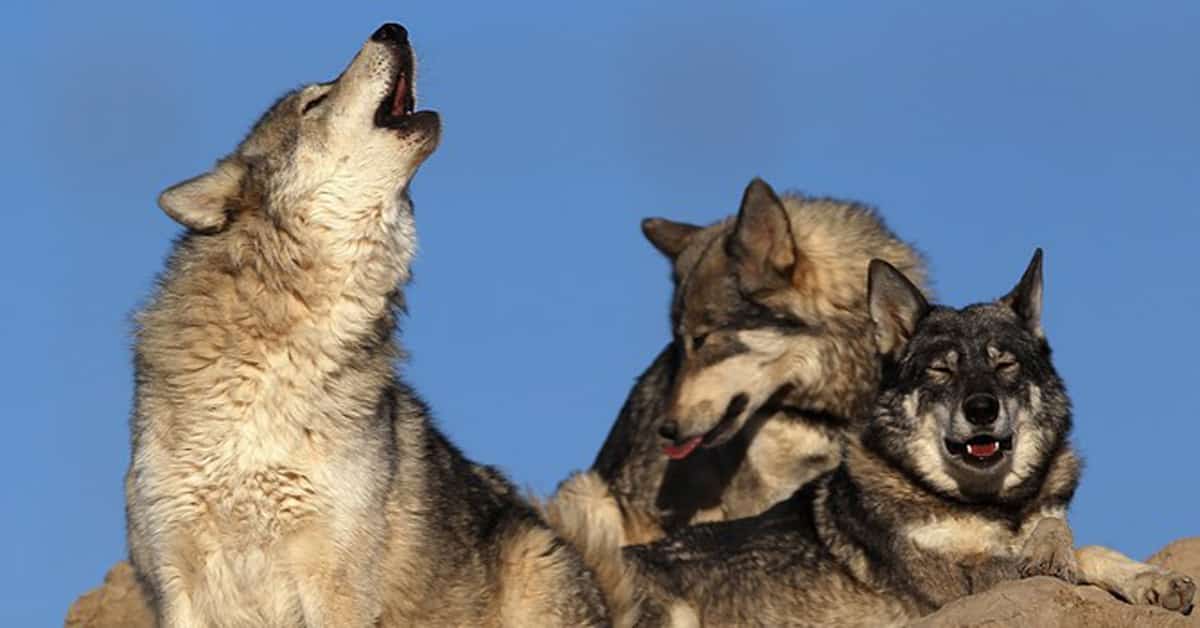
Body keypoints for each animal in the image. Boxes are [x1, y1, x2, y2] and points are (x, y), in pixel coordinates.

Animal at [548, 250, 1195, 626]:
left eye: (1003, 363)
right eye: (941, 370)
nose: (981, 409)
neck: (991, 508)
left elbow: (1087, 545)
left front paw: (1153, 580)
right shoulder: (957, 588)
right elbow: (1073, 553)